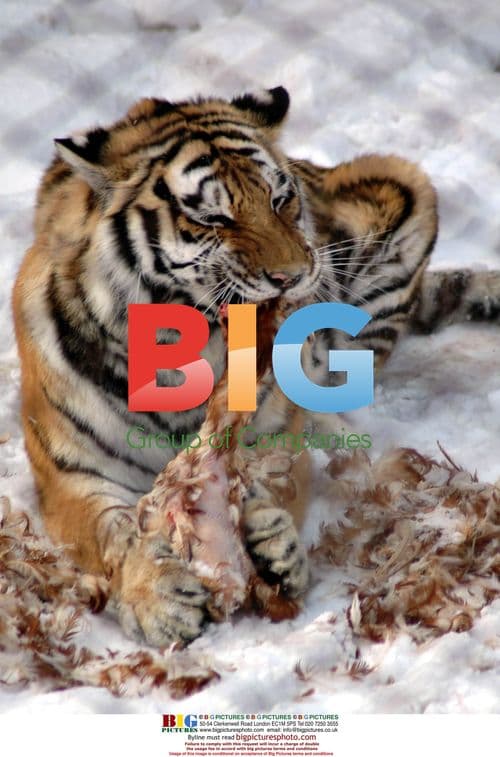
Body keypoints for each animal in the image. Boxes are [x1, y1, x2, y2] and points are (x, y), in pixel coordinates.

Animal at [13, 86, 500, 647]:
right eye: (212, 219)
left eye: (279, 200)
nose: (294, 276)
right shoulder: (72, 474)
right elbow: (111, 533)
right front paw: (157, 594)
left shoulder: (272, 434)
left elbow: (276, 478)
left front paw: (271, 545)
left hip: (402, 188)